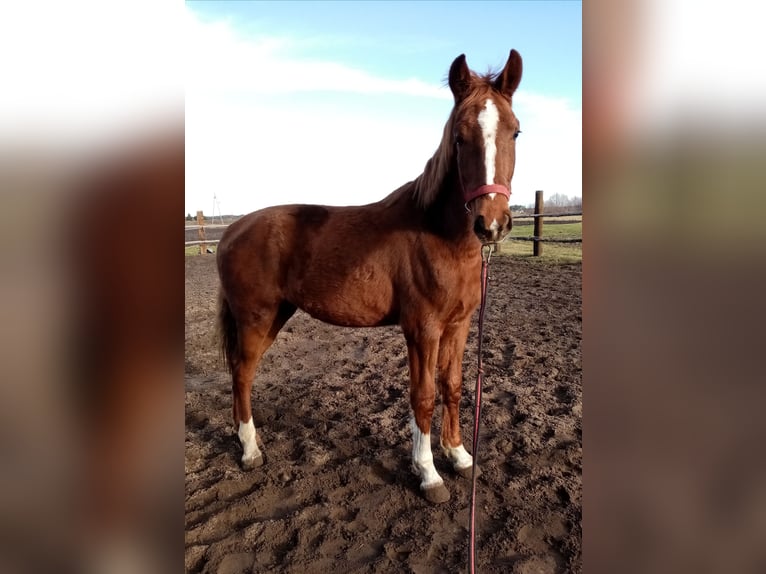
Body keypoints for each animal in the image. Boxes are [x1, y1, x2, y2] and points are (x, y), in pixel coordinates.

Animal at [219, 51, 524, 506]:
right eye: (458, 137)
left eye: (515, 132)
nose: (491, 223)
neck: (438, 235)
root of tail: (230, 231)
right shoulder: (422, 329)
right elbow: (423, 396)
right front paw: (428, 473)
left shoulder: (459, 324)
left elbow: (452, 386)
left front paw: (459, 456)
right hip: (256, 319)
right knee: (242, 373)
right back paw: (250, 451)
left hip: (274, 317)